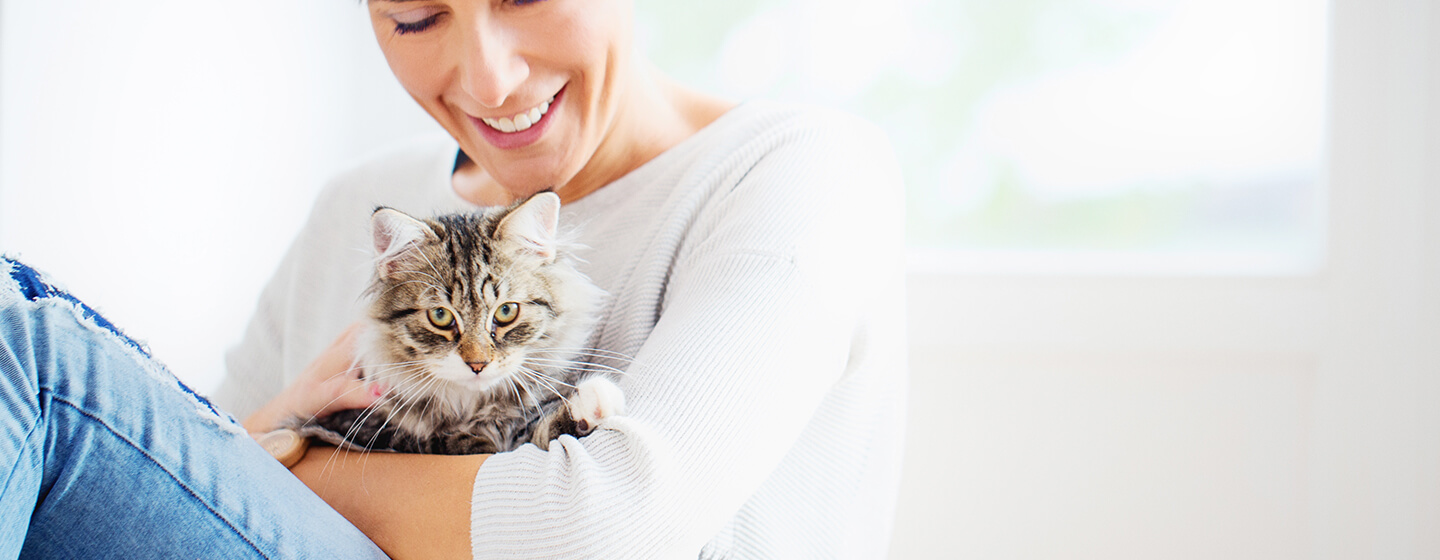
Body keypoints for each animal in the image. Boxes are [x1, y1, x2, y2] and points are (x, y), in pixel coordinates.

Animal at [292, 191, 624, 454]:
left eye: (506, 312)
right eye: (440, 316)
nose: (478, 365)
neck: (473, 407)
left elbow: (540, 430)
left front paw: (592, 402)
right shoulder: (352, 427)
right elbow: (451, 443)